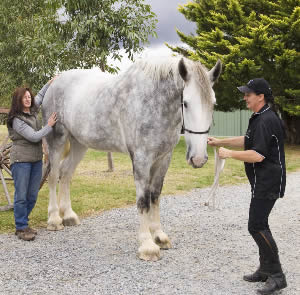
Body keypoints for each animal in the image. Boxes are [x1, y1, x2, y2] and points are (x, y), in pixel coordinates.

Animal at [41, 56, 220, 262]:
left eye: (213, 104)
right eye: (186, 103)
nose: (198, 159)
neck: (153, 101)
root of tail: (54, 81)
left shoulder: (164, 158)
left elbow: (155, 196)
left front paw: (159, 236)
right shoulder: (142, 158)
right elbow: (143, 200)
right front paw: (147, 246)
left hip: (79, 144)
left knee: (66, 174)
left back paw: (69, 216)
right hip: (57, 141)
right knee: (54, 176)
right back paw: (54, 219)